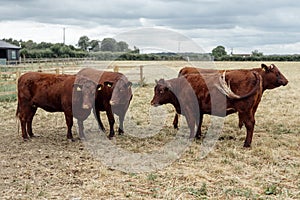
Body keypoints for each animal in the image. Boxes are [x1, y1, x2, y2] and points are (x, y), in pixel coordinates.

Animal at [152, 63, 288, 147]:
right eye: (276, 73)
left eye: (161, 91)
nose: (152, 102)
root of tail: (252, 73)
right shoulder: (199, 109)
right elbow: (198, 122)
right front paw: (198, 136)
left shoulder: (189, 109)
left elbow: (192, 124)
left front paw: (191, 138)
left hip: (246, 110)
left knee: (250, 125)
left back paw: (246, 144)